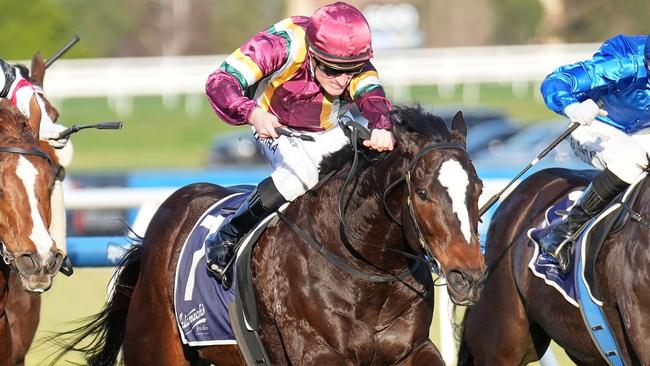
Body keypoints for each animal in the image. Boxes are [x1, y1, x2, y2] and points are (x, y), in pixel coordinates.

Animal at [53, 106, 484, 366]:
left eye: (477, 188)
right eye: (423, 192)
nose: (469, 276)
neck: (365, 266)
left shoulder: (411, 349)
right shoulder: (316, 352)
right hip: (157, 347)